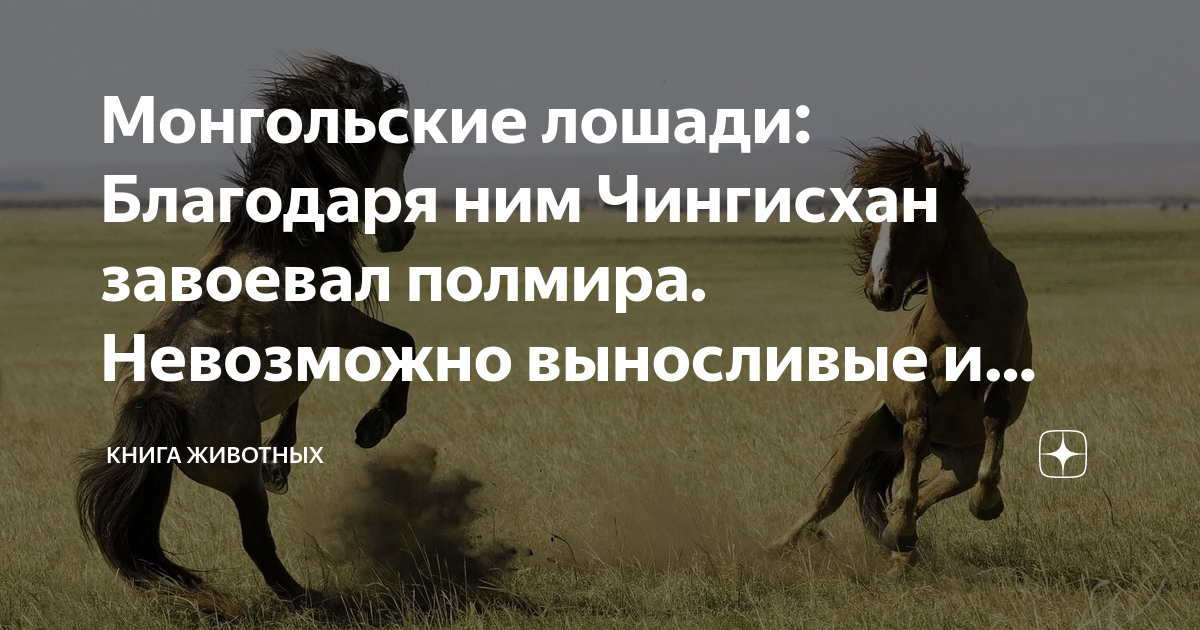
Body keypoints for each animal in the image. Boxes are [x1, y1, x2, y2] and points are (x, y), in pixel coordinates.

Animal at [76, 55, 418, 607]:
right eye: (404, 144)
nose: (401, 234)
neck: (285, 239)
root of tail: (153, 402)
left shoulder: (309, 344)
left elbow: (300, 393)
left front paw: (281, 458)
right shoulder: (340, 325)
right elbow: (405, 344)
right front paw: (375, 424)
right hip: (237, 480)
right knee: (258, 541)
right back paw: (306, 598)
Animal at [771, 132, 1033, 573]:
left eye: (916, 213)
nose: (879, 291)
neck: (970, 309)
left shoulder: (1001, 375)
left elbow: (994, 424)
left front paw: (985, 503)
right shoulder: (919, 386)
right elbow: (917, 432)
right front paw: (904, 528)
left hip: (958, 462)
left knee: (923, 490)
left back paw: (899, 550)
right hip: (861, 435)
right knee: (826, 499)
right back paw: (777, 547)